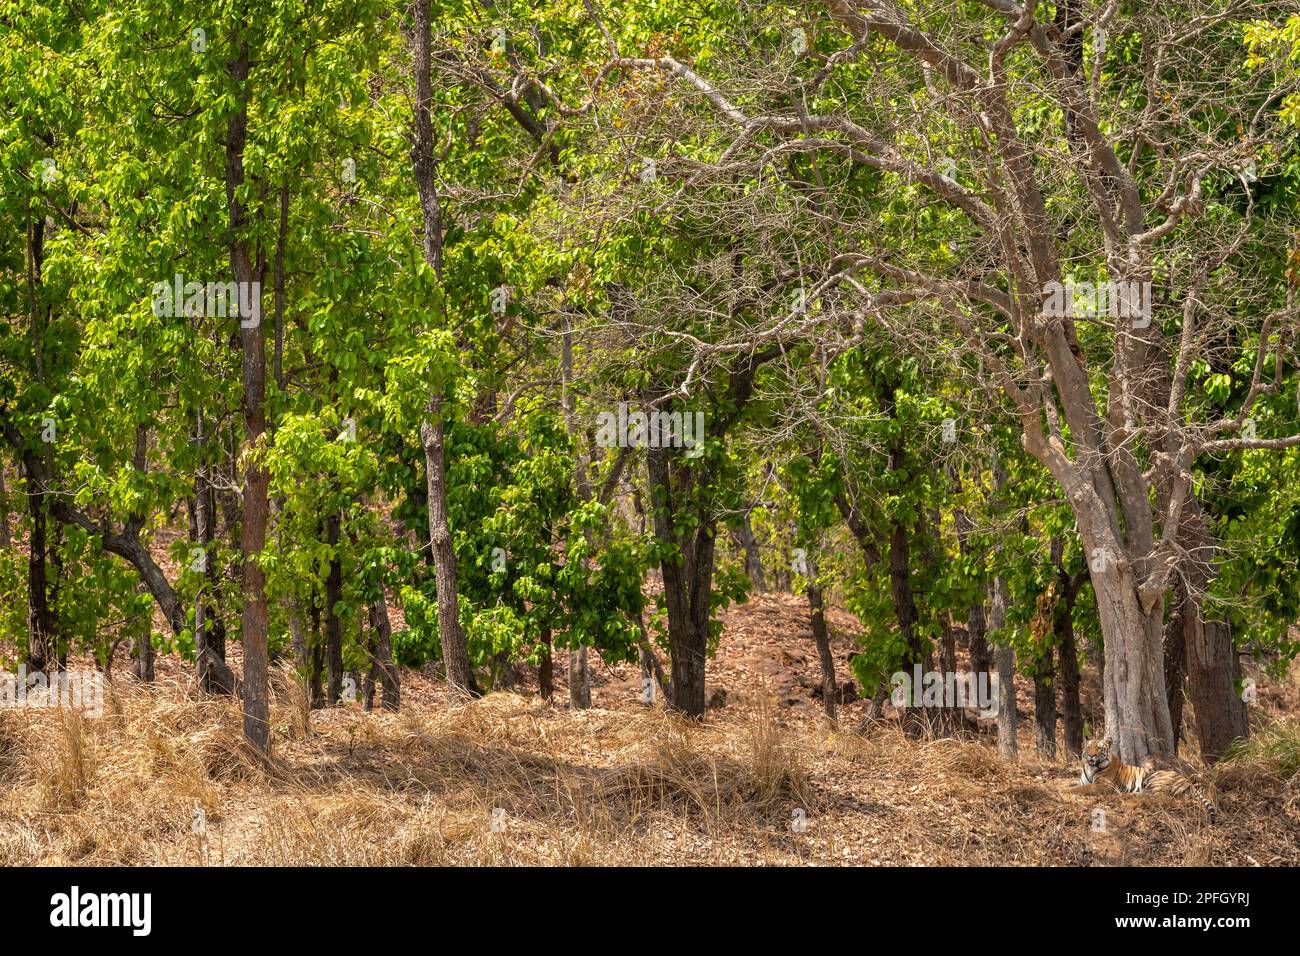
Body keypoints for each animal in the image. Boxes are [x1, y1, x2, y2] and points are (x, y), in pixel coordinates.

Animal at [1073, 737, 1216, 824]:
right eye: (1088, 747)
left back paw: (1126, 797)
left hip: (1154, 778)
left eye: (1099, 748)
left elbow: (1079, 788)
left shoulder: (1102, 785)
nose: (1091, 755)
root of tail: (1188, 781)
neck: (1091, 768)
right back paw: (1128, 796)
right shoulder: (1084, 781)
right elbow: (1075, 784)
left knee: (1160, 798)